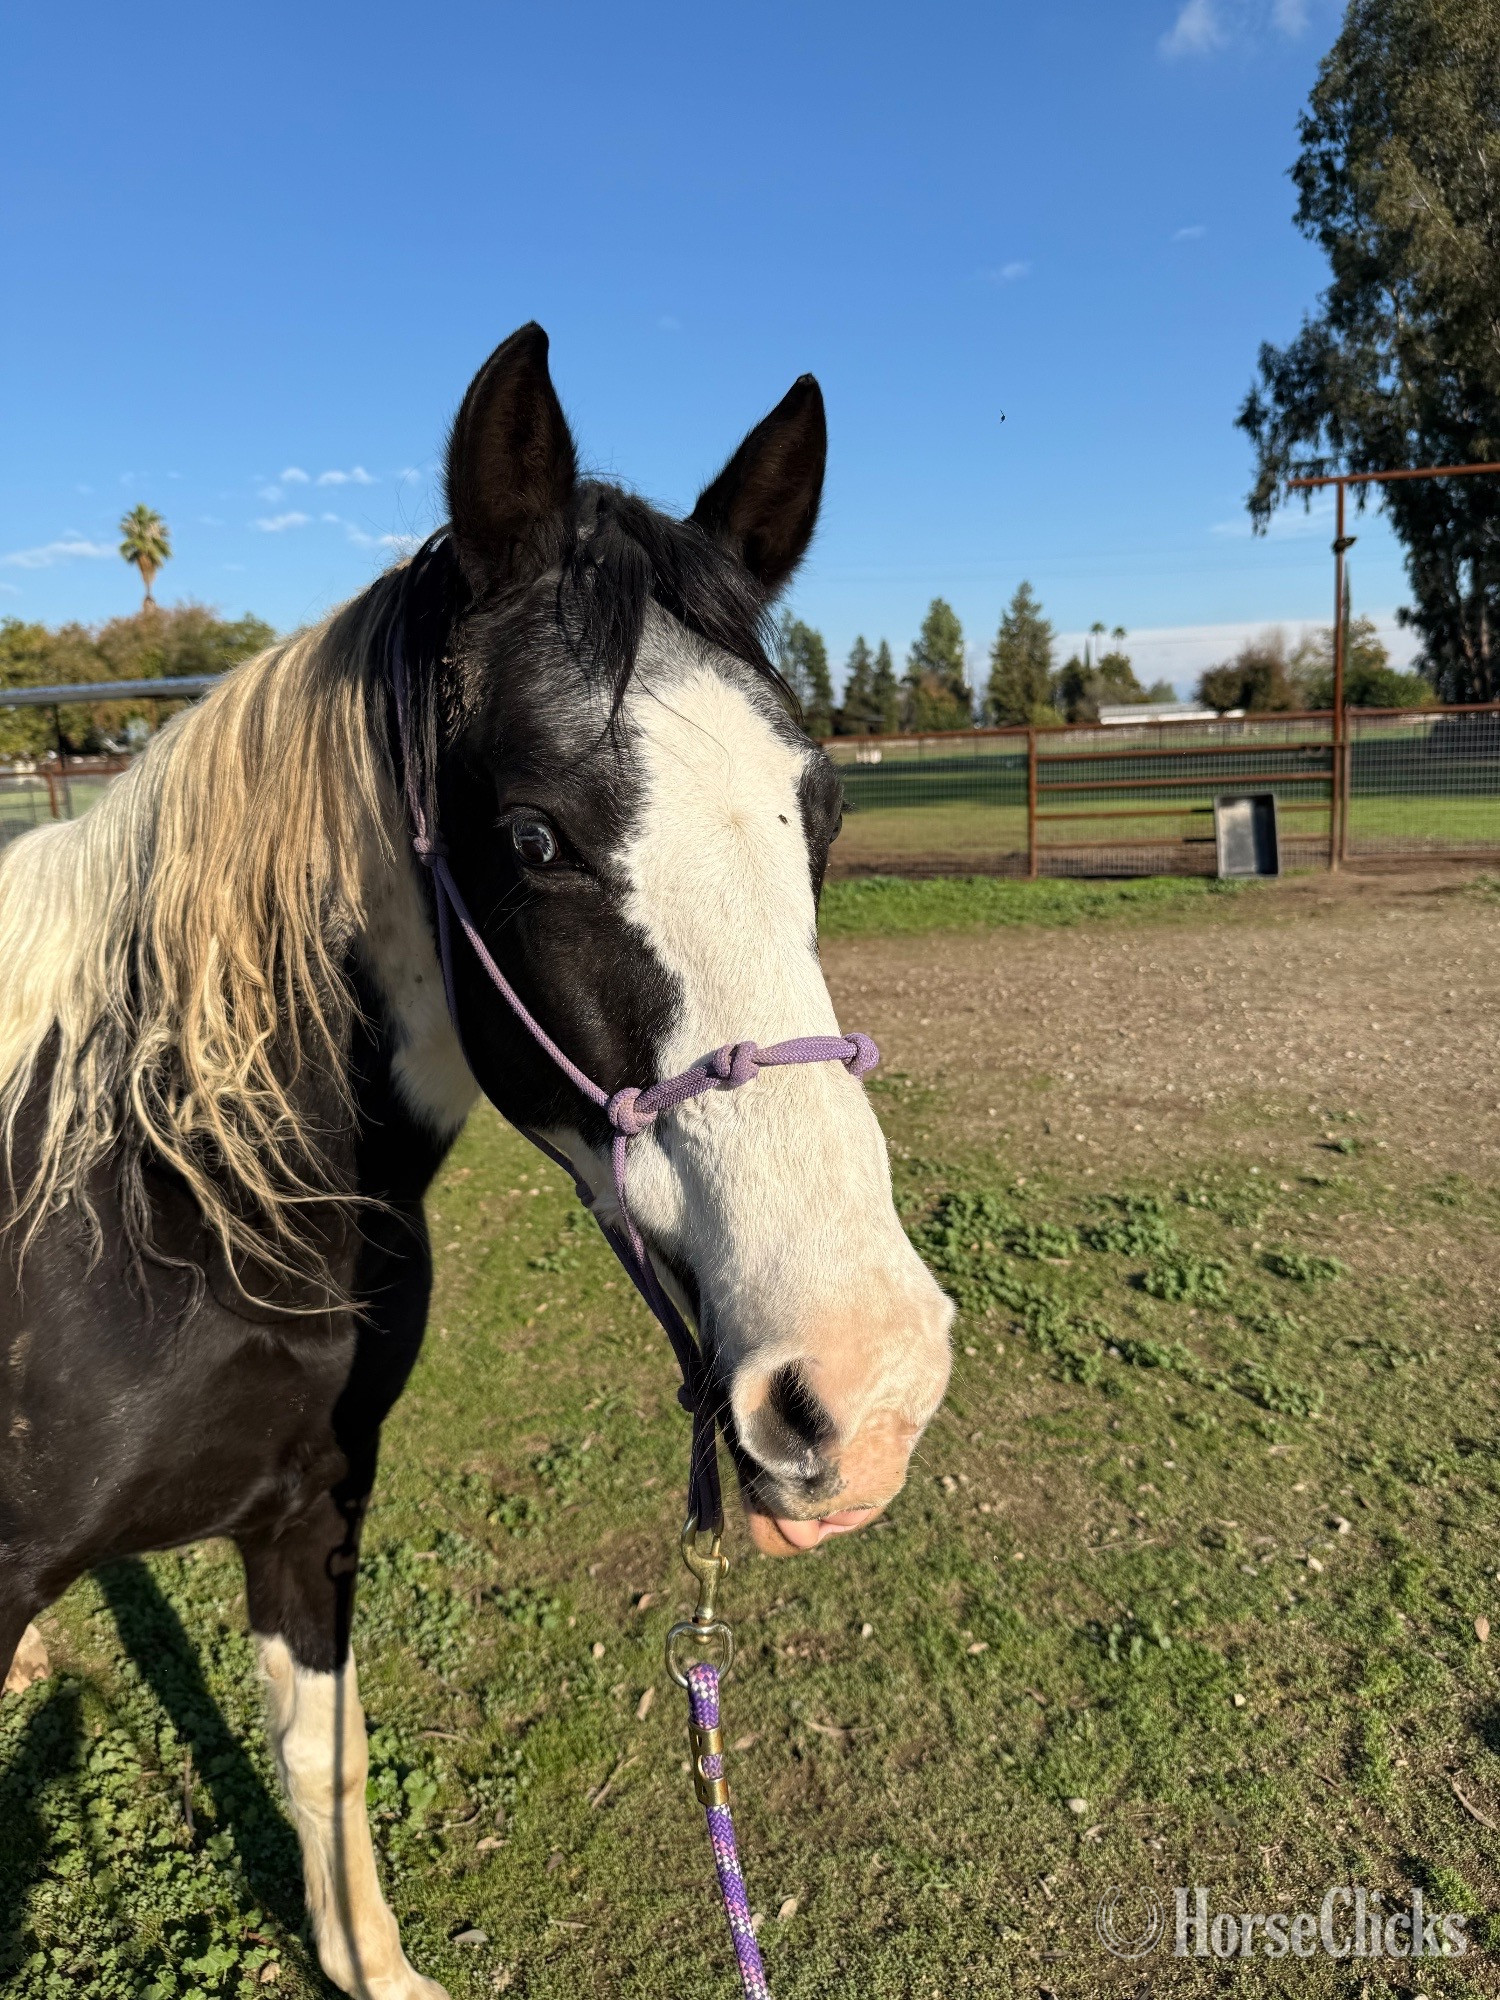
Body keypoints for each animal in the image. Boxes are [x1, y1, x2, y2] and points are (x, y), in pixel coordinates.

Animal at [0, 324, 953, 1999]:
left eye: (824, 812)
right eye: (531, 837)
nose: (873, 1385)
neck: (157, 1198)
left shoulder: (314, 1508)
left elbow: (326, 1769)